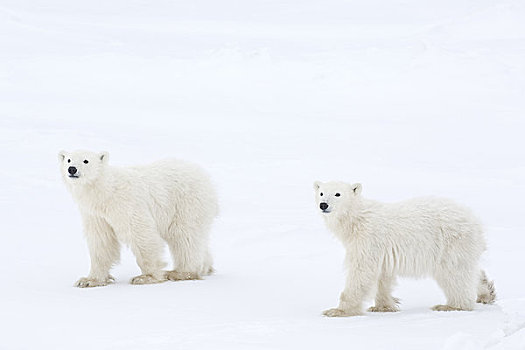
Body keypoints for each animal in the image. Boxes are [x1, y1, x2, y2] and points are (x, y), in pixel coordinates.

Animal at [58, 150, 217, 288]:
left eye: (86, 160)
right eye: (69, 159)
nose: (72, 169)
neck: (106, 193)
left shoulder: (127, 203)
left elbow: (140, 233)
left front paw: (146, 277)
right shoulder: (96, 215)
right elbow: (102, 241)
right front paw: (89, 280)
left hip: (186, 202)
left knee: (184, 236)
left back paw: (181, 272)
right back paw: (205, 267)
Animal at [314, 180, 494, 318]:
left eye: (338, 194)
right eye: (321, 193)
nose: (323, 205)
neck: (356, 220)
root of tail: (475, 221)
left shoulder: (368, 240)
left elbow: (361, 272)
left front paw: (338, 311)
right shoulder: (381, 251)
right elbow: (383, 276)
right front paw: (383, 306)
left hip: (451, 242)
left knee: (454, 273)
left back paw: (452, 306)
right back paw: (486, 292)